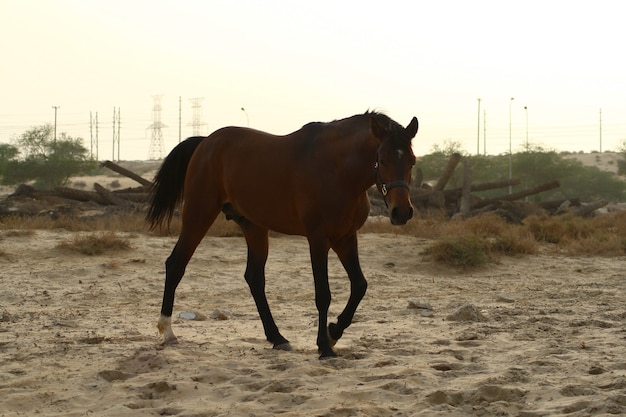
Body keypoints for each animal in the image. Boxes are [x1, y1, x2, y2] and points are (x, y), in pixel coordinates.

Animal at [147, 110, 416, 358]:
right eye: (382, 160)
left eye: (412, 161)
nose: (401, 212)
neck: (337, 171)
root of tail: (205, 142)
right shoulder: (318, 240)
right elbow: (323, 294)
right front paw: (324, 346)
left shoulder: (346, 238)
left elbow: (359, 285)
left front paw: (333, 332)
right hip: (199, 215)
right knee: (176, 264)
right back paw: (168, 331)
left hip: (254, 227)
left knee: (254, 278)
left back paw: (277, 337)